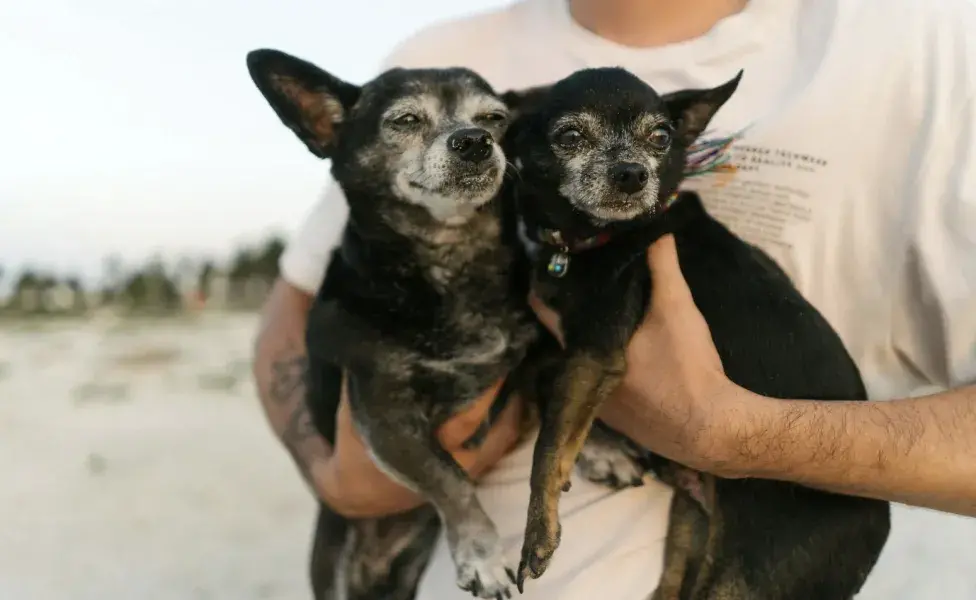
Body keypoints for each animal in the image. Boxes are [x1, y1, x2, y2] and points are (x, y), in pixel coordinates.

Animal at [504, 68, 892, 596]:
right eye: (569, 136)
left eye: (661, 137)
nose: (632, 173)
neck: (593, 238)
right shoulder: (564, 344)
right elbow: (539, 385)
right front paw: (601, 452)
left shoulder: (595, 351)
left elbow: (546, 444)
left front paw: (538, 529)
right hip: (693, 532)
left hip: (750, 580)